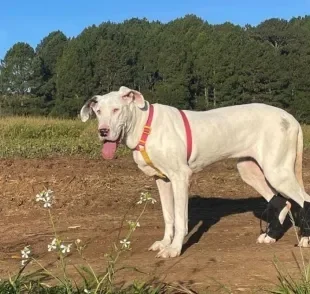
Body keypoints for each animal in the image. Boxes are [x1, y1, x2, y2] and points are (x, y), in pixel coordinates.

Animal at [79, 86, 310, 258]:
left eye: (116, 109)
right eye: (98, 112)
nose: (103, 132)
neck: (145, 126)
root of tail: (291, 118)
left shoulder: (181, 178)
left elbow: (181, 218)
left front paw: (174, 249)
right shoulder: (162, 180)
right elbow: (168, 216)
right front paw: (165, 242)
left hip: (277, 171)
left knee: (303, 199)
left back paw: (305, 239)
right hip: (250, 170)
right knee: (281, 202)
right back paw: (271, 236)